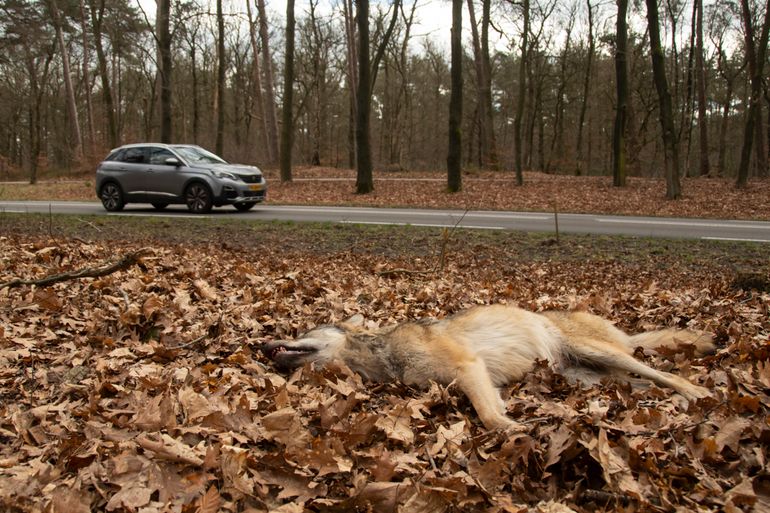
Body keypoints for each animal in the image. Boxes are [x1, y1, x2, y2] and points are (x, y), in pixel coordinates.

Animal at [260, 306, 712, 430]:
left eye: (303, 329)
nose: (262, 345)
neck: (383, 354)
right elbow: (492, 410)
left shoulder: (468, 367)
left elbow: (490, 417)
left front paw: (514, 431)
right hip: (591, 378)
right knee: (647, 386)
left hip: (602, 354)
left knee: (667, 374)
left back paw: (698, 393)